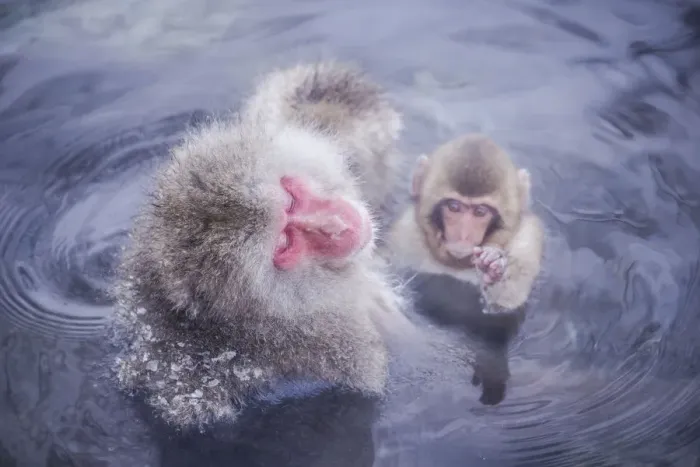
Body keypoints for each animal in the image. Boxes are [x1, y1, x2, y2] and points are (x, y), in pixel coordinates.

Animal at [386, 133, 544, 314]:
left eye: (480, 211)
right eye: (454, 207)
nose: (463, 236)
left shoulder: (528, 242)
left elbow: (505, 308)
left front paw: (493, 267)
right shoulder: (404, 235)